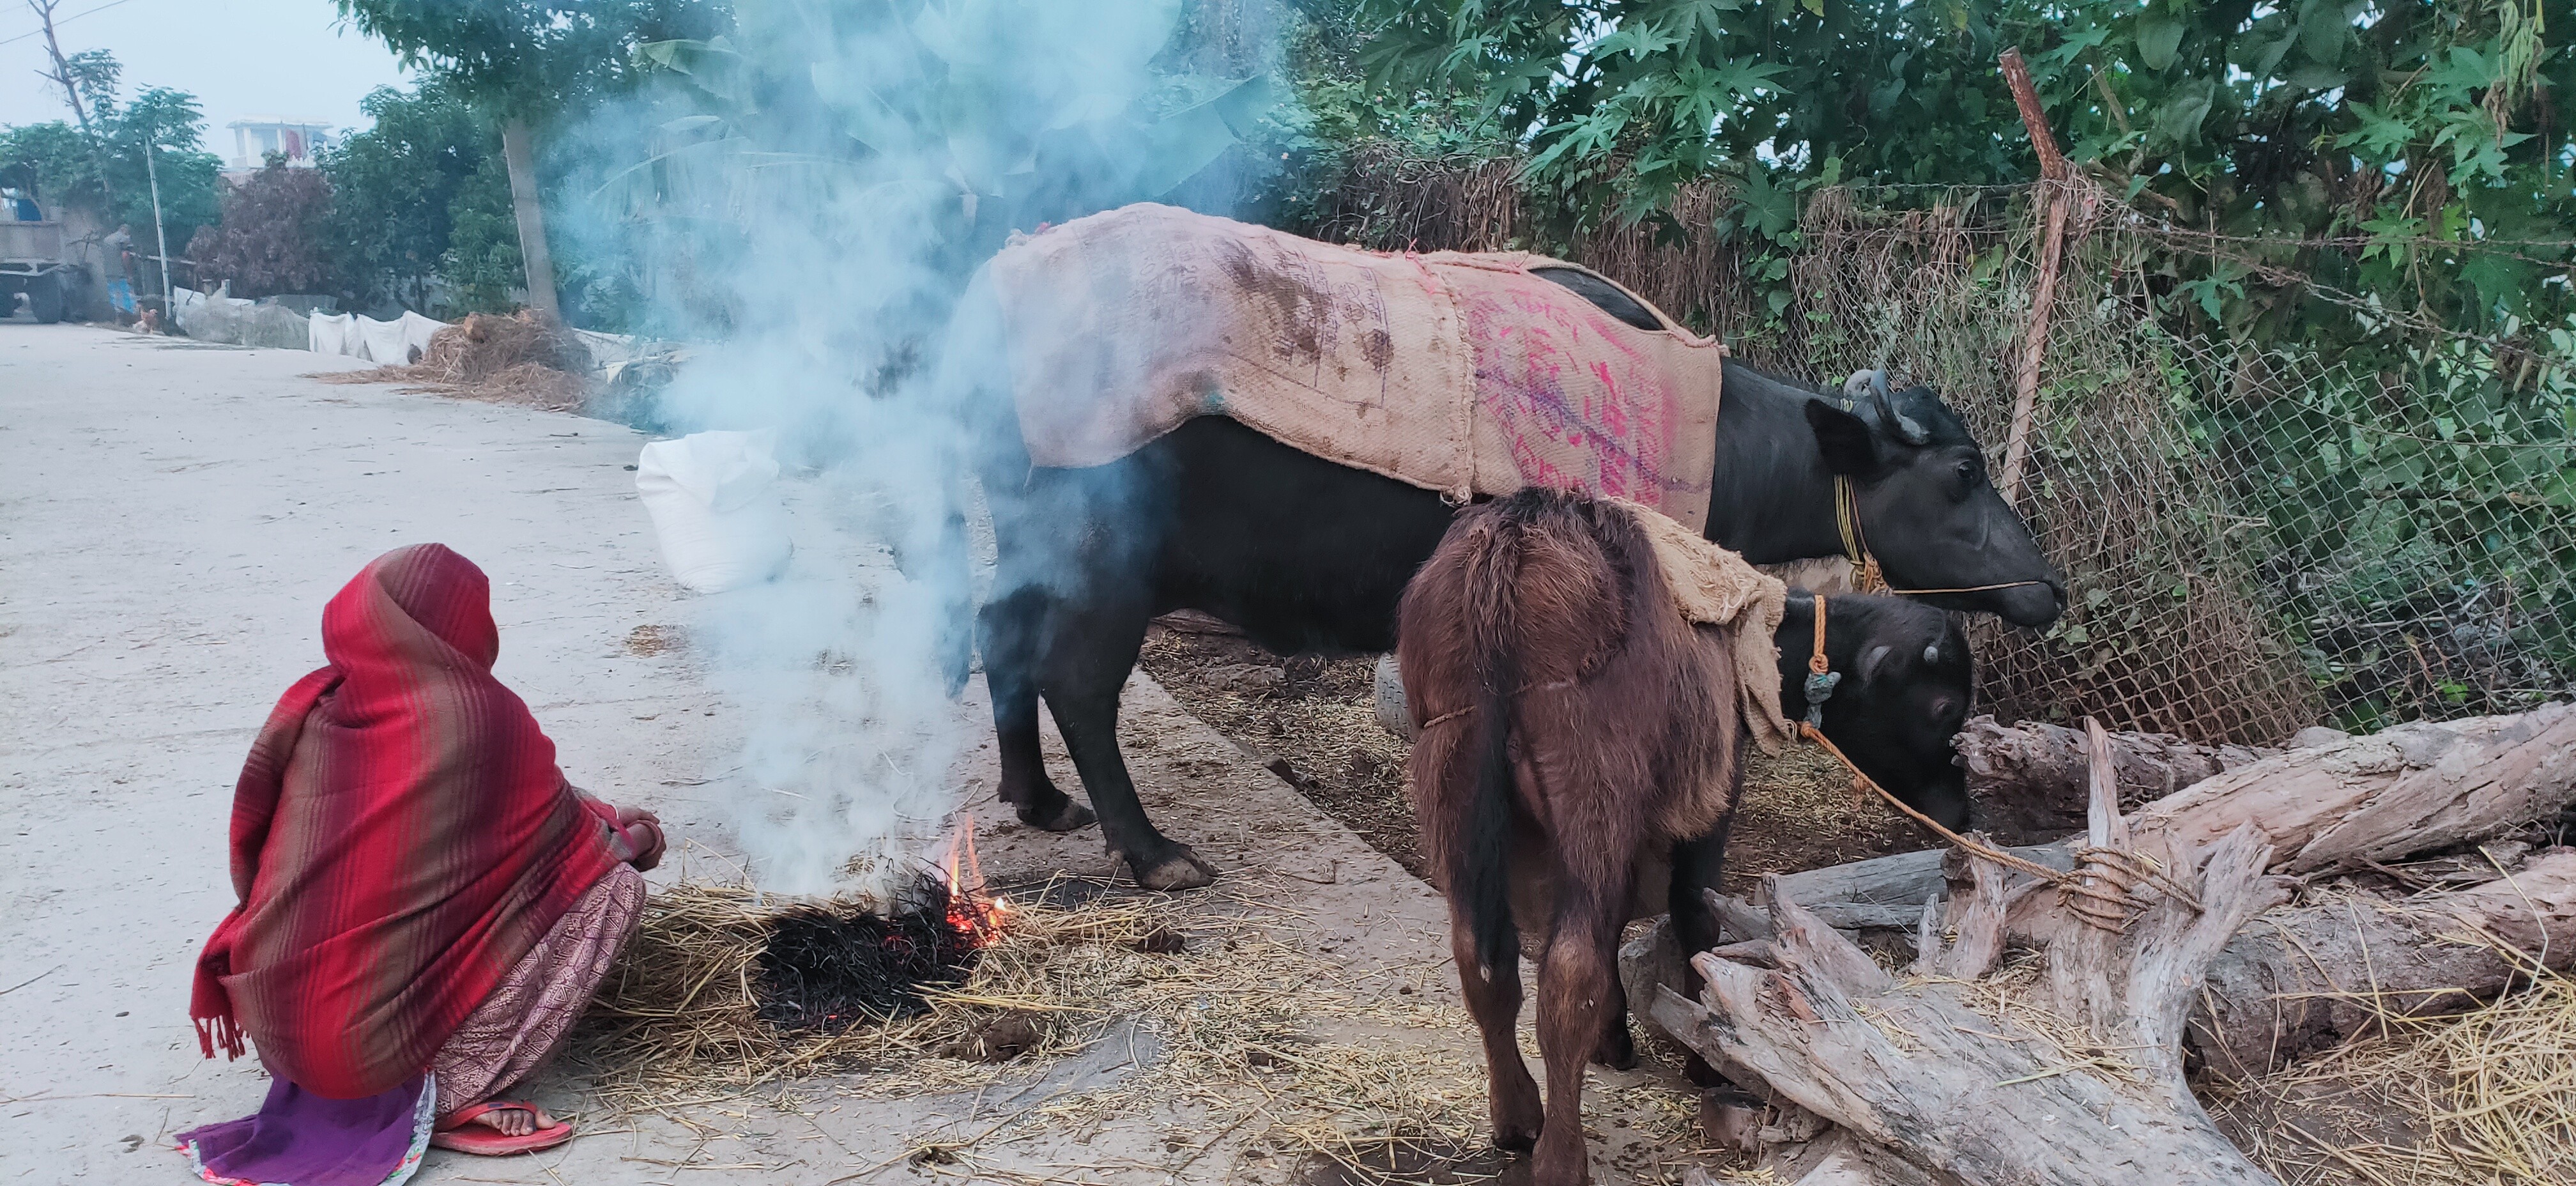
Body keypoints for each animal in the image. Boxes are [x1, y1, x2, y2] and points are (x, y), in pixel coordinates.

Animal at [1401, 487, 1741, 1180]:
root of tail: (1510, 537)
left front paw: (1618, 1039)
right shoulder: (1710, 810)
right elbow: (1696, 918)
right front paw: (1701, 1059)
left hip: (1452, 772)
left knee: (1483, 960)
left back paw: (1515, 1117)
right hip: (1591, 782)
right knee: (1569, 970)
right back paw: (1561, 1154)